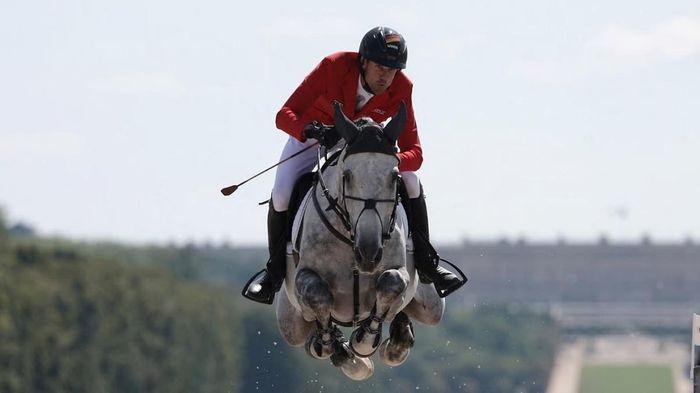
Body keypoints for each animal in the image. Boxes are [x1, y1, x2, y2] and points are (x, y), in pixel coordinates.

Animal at [274, 101, 442, 380]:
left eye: (394, 177)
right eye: (347, 176)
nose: (368, 253)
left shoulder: (398, 271)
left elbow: (392, 282)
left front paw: (364, 340)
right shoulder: (304, 276)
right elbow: (317, 294)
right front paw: (338, 346)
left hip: (432, 304)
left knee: (416, 312)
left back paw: (396, 342)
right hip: (290, 322)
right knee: (306, 333)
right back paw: (338, 351)